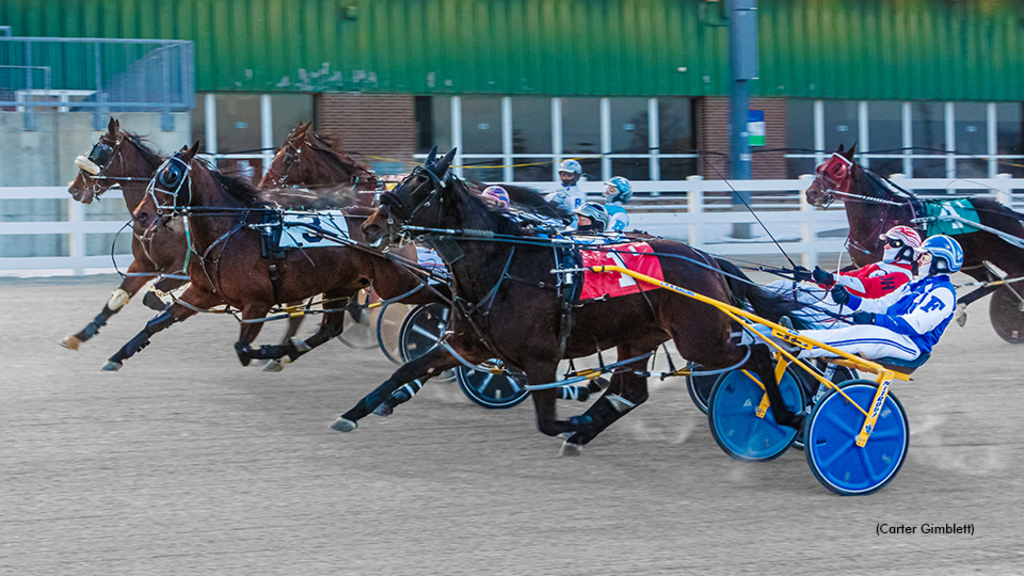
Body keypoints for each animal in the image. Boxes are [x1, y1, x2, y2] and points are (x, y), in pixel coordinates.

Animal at [111, 141, 440, 368]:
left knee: (439, 295)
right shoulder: (204, 292)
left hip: (399, 282)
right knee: (329, 329)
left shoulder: (257, 304)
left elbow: (243, 349)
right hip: (341, 286)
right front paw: (117, 356)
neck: (233, 230)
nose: (141, 215)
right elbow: (157, 321)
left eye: (170, 175)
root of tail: (392, 224)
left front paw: (270, 352)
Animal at [331, 147, 802, 453]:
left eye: (421, 186)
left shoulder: (539, 358)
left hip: (700, 339)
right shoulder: (466, 344)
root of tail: (706, 258)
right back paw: (584, 432)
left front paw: (576, 411)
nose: (371, 225)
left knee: (759, 355)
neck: (506, 263)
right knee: (632, 392)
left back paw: (788, 416)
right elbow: (405, 370)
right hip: (639, 337)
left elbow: (546, 419)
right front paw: (353, 413)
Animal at [802, 144, 1024, 340]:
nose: (811, 194)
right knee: (991, 280)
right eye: (820, 167)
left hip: (1008, 255)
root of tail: (1005, 211)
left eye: (837, 169)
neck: (881, 216)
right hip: (972, 261)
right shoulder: (860, 264)